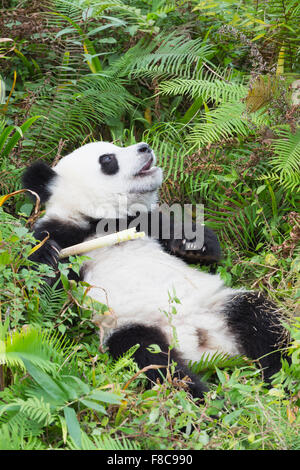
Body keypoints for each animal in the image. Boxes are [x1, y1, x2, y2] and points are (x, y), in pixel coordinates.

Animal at [22, 140, 286, 396]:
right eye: (107, 159)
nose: (144, 147)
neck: (102, 223)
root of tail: (203, 347)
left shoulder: (147, 222)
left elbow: (206, 252)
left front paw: (191, 242)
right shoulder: (63, 233)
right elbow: (45, 302)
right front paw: (47, 255)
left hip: (217, 306)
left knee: (260, 319)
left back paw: (278, 378)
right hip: (129, 326)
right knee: (151, 359)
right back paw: (199, 397)